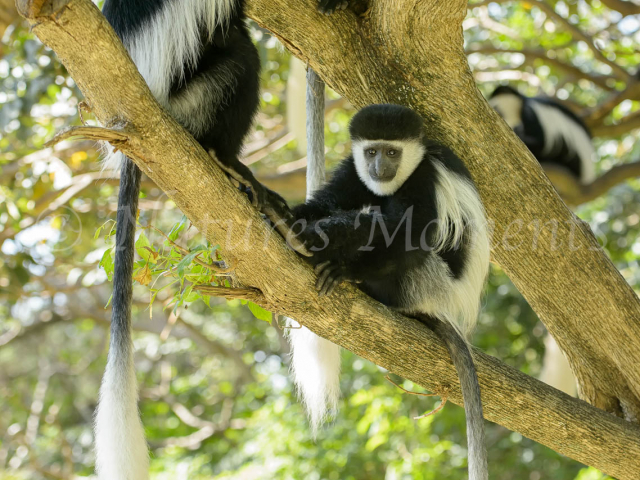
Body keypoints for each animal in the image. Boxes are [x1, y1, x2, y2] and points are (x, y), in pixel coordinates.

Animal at [286, 104, 491, 480]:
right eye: (372, 152)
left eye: (392, 153)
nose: (379, 167)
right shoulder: (352, 169)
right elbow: (327, 200)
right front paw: (294, 215)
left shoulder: (425, 181)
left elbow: (413, 236)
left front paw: (336, 254)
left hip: (426, 283)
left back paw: (349, 270)